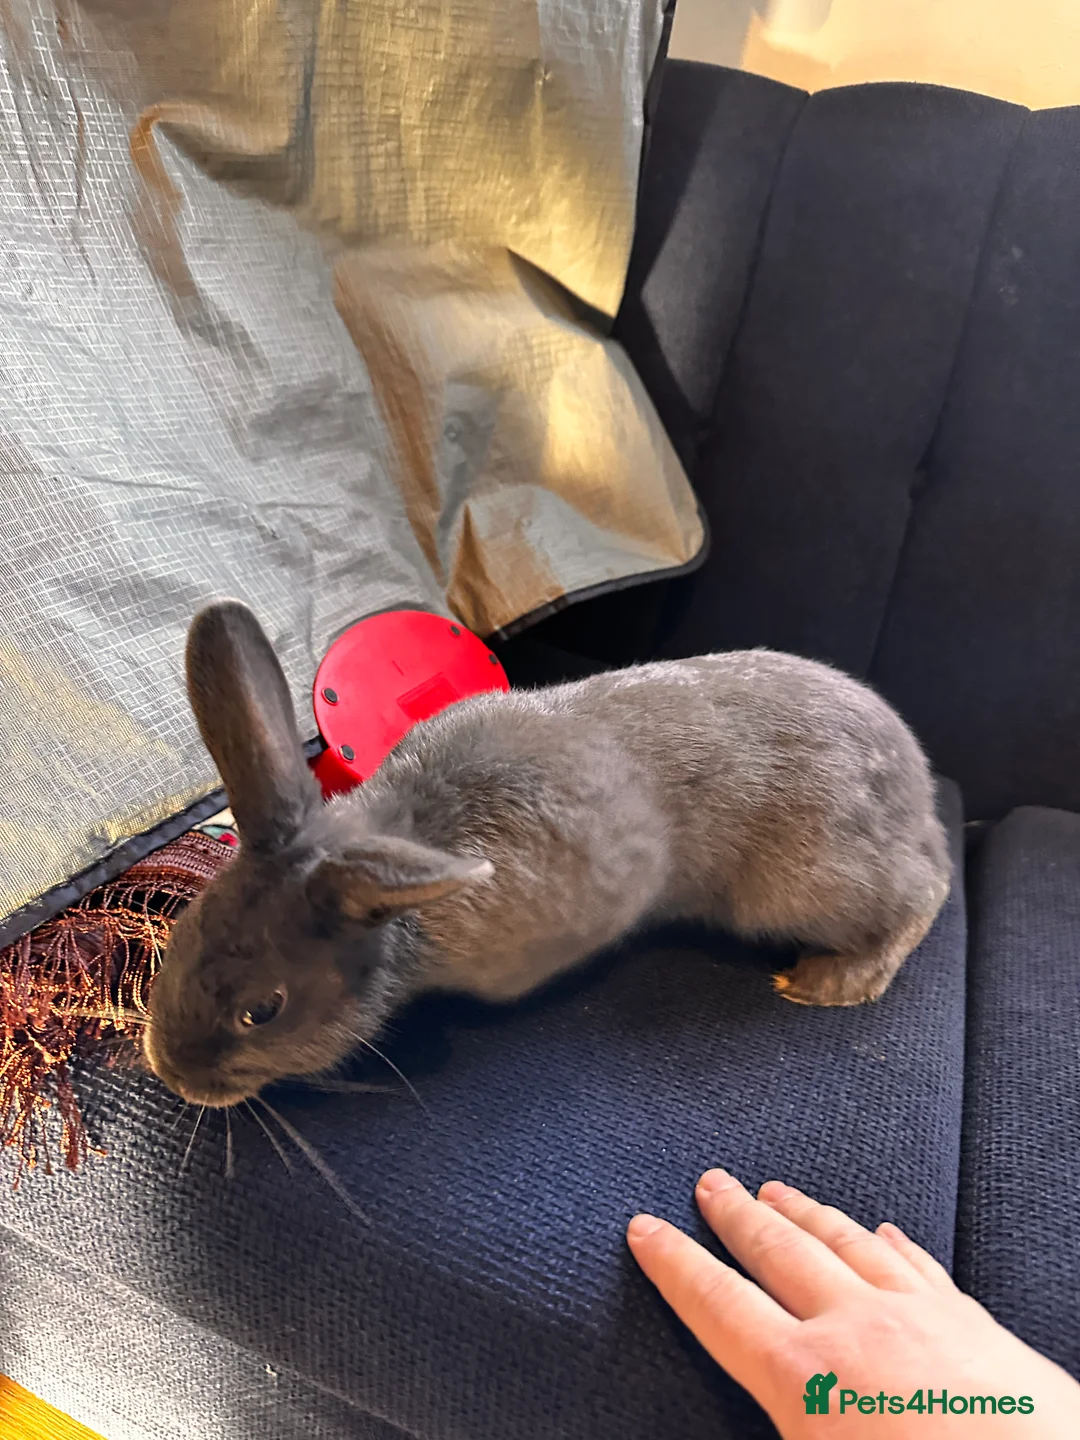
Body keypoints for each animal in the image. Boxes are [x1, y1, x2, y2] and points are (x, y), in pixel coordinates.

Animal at [143, 600, 951, 1108]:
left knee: (924, 892)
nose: (170, 1071)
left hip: (806, 884)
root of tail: (920, 795)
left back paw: (829, 981)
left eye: (263, 1010)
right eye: (183, 933)